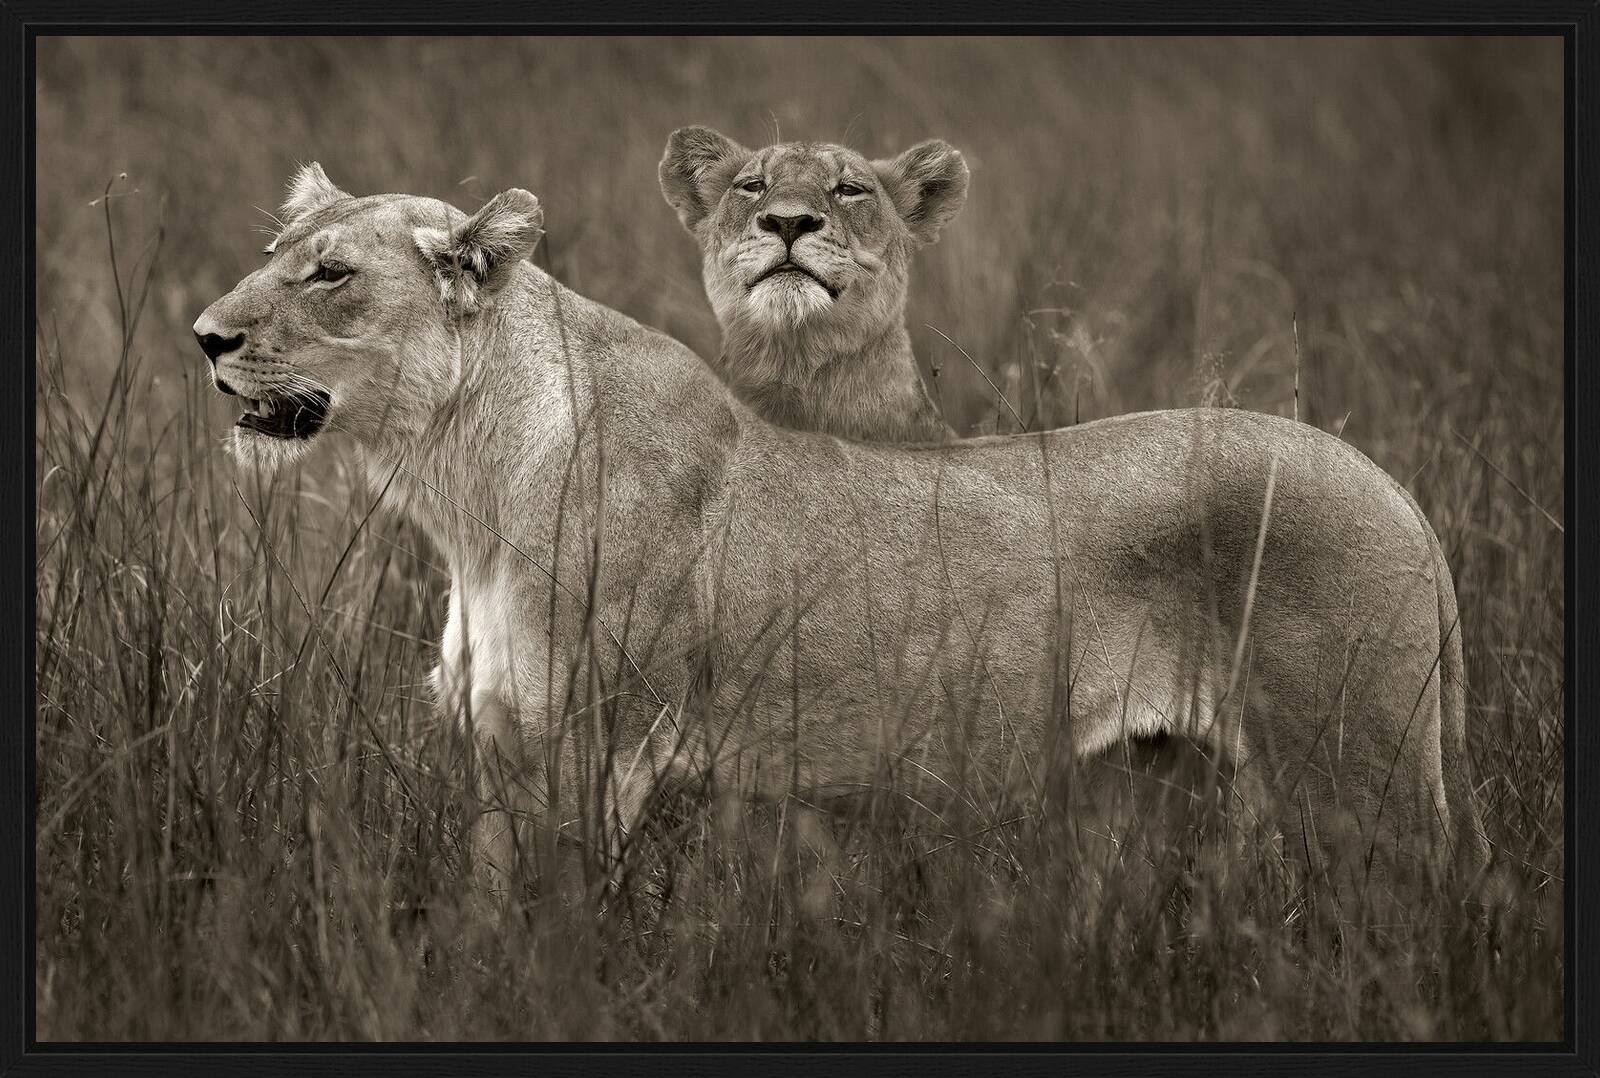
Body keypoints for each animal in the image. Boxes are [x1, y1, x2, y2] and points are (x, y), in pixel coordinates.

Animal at [195, 166, 1487, 910]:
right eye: (271, 257)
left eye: (329, 274)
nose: (203, 335)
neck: (458, 485)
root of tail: (1395, 491)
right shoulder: (505, 752)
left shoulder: (592, 751)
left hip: (1361, 779)